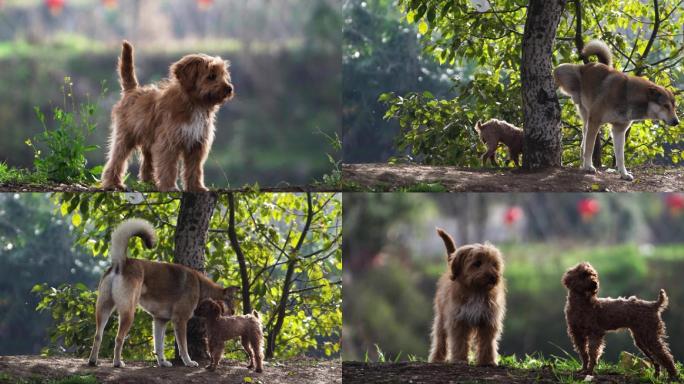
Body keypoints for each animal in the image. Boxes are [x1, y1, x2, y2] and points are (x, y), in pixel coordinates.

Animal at [88, 218, 239, 368]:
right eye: (231, 302)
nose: (234, 313)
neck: (200, 287)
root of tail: (121, 262)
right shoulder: (180, 320)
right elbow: (183, 346)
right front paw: (188, 362)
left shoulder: (160, 320)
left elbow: (159, 345)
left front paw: (162, 362)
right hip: (128, 313)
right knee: (119, 338)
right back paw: (118, 362)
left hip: (103, 309)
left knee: (97, 336)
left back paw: (93, 361)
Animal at [101, 41, 235, 192]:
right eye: (211, 76)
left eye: (223, 75)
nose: (229, 88)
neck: (195, 104)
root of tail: (132, 91)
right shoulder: (168, 141)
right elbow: (168, 166)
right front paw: (169, 186)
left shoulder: (197, 144)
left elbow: (194, 168)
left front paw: (196, 187)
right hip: (125, 136)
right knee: (117, 159)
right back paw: (113, 183)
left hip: (148, 140)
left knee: (147, 163)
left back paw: (149, 183)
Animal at [428, 228, 508, 366]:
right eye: (477, 263)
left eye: (494, 264)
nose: (493, 276)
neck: (476, 291)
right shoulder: (458, 319)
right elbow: (459, 342)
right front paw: (460, 359)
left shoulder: (488, 320)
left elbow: (487, 342)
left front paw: (487, 361)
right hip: (442, 318)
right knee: (440, 339)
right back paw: (437, 358)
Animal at [556, 39, 680, 181]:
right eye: (666, 106)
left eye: (674, 107)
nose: (677, 122)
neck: (627, 95)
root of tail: (590, 65)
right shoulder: (595, 121)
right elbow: (590, 148)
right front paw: (589, 167)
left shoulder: (619, 130)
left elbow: (620, 157)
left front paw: (624, 174)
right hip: (564, 72)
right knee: (555, 73)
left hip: (587, 121)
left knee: (582, 144)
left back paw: (582, 164)